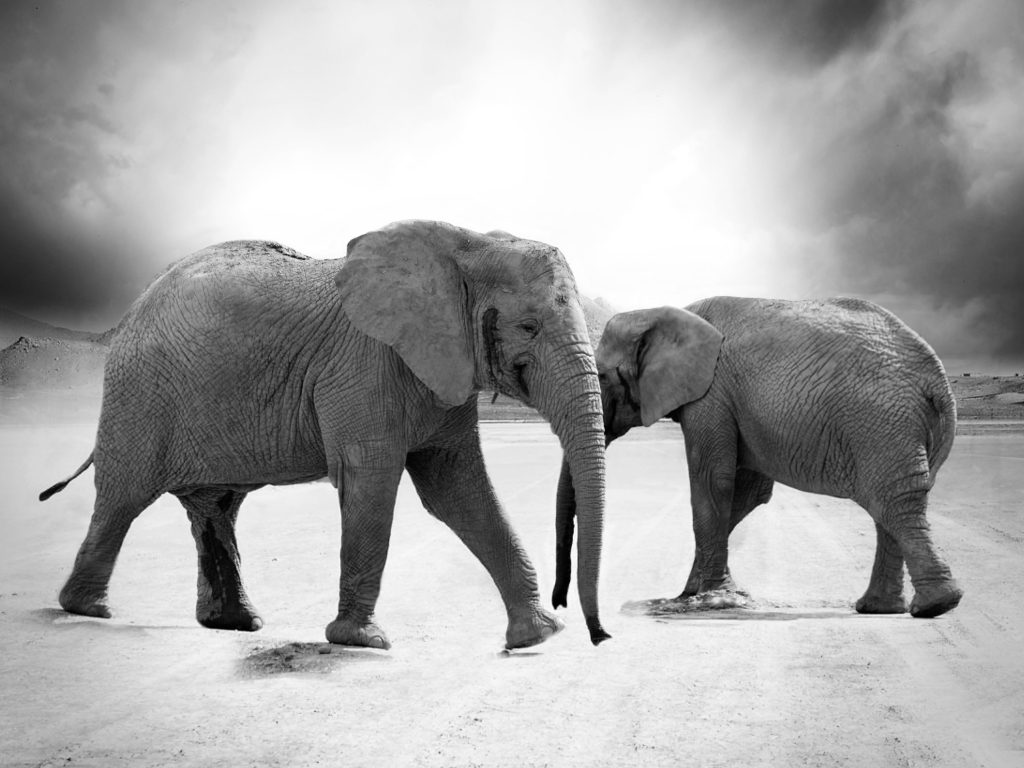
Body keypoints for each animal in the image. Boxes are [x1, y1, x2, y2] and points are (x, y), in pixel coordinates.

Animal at [40, 220, 611, 649]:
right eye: (529, 327)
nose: (599, 636)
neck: (466, 245)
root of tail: (133, 309)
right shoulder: (362, 366)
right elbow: (371, 480)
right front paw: (361, 641)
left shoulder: (441, 372)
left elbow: (458, 490)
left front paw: (538, 636)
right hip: (139, 394)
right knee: (123, 497)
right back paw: (88, 608)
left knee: (215, 508)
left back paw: (236, 624)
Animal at [552, 295, 962, 619]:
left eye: (602, 377)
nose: (559, 605)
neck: (664, 313)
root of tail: (938, 381)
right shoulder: (730, 404)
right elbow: (746, 492)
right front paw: (693, 593)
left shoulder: (712, 394)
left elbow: (714, 482)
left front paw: (708, 598)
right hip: (899, 430)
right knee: (892, 507)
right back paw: (882, 608)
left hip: (882, 425)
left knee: (893, 504)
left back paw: (934, 606)